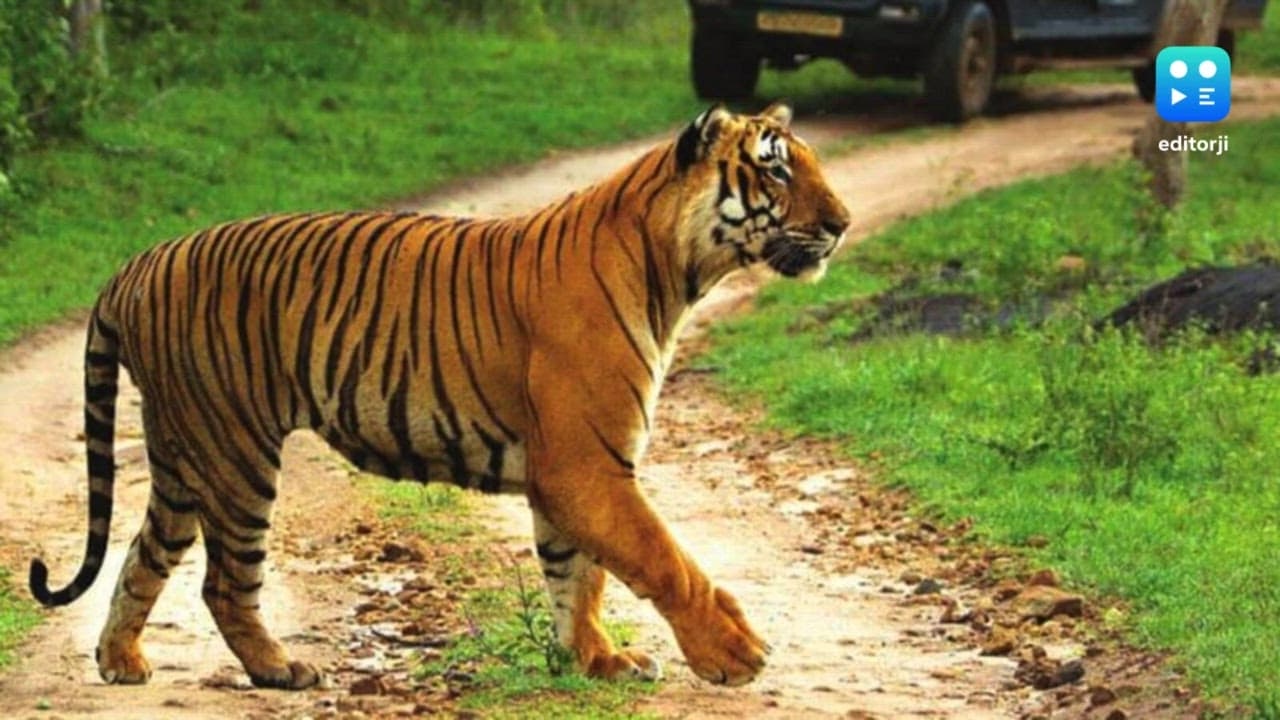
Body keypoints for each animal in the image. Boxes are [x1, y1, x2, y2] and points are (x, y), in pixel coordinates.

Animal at [29, 102, 851, 689]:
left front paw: (597, 661)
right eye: (778, 173)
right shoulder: (587, 464)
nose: (842, 225)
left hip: (181, 453)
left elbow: (578, 575)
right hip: (235, 452)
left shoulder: (572, 469)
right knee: (225, 583)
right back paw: (279, 669)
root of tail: (137, 263)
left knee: (143, 555)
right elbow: (662, 558)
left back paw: (121, 661)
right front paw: (733, 653)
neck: (673, 269)